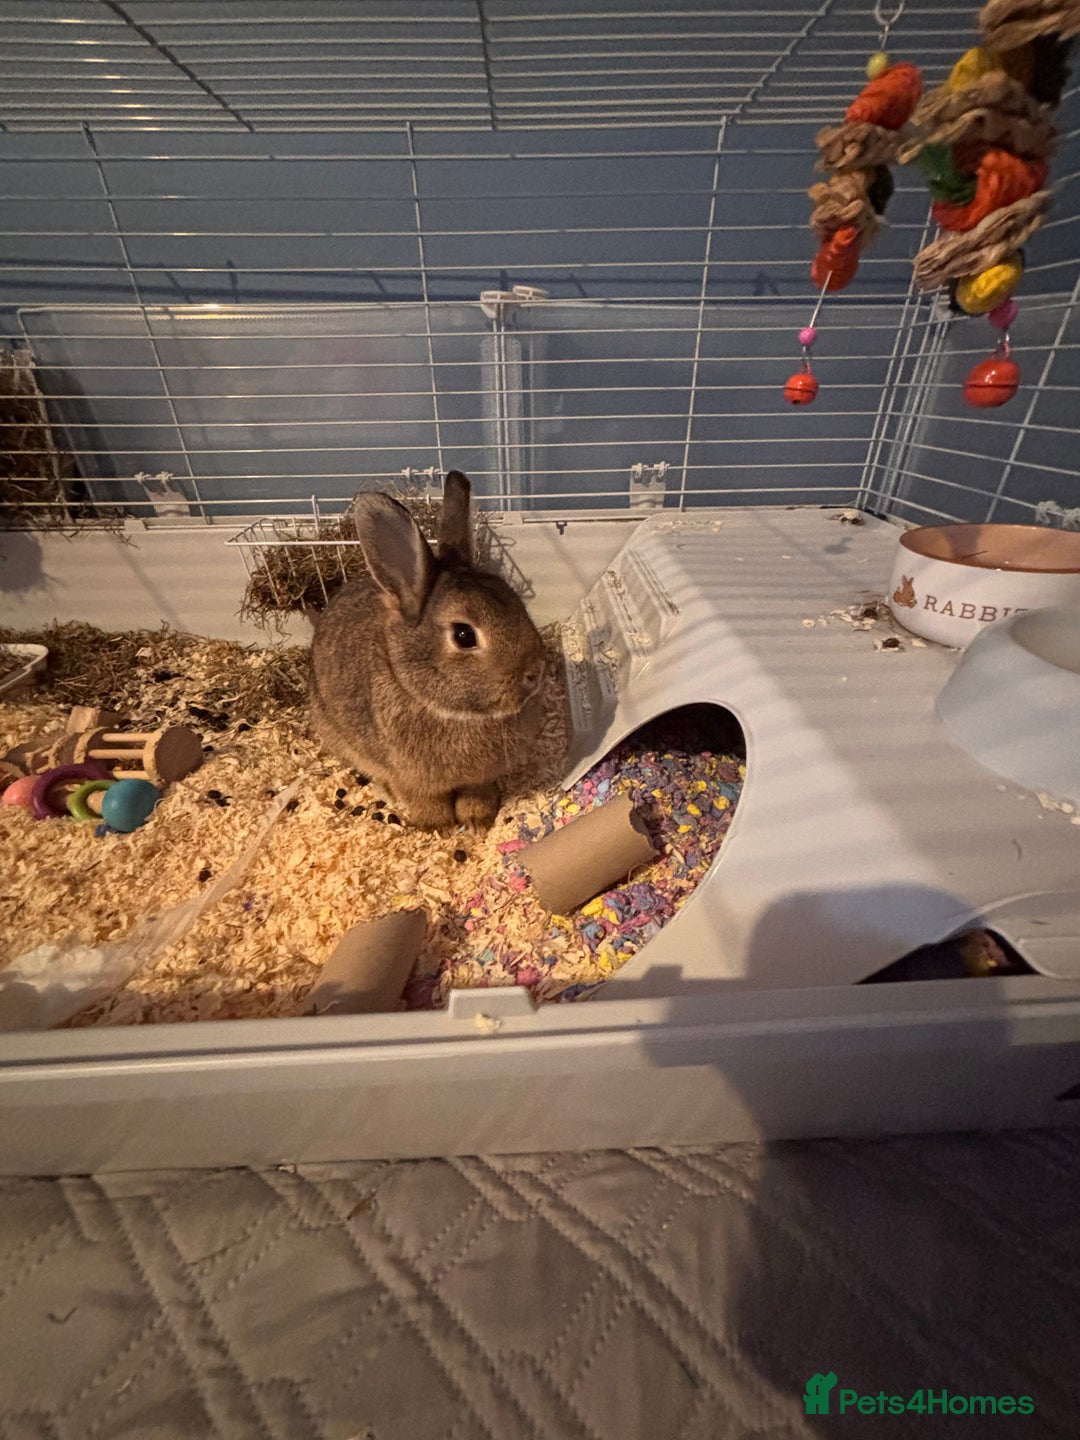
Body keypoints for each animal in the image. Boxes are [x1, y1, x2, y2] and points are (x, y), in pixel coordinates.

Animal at [309, 470, 548, 830]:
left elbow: (476, 793)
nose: (535, 673)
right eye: (464, 635)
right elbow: (425, 800)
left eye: (517, 603)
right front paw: (437, 826)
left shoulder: (480, 777)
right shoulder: (413, 778)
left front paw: (477, 820)